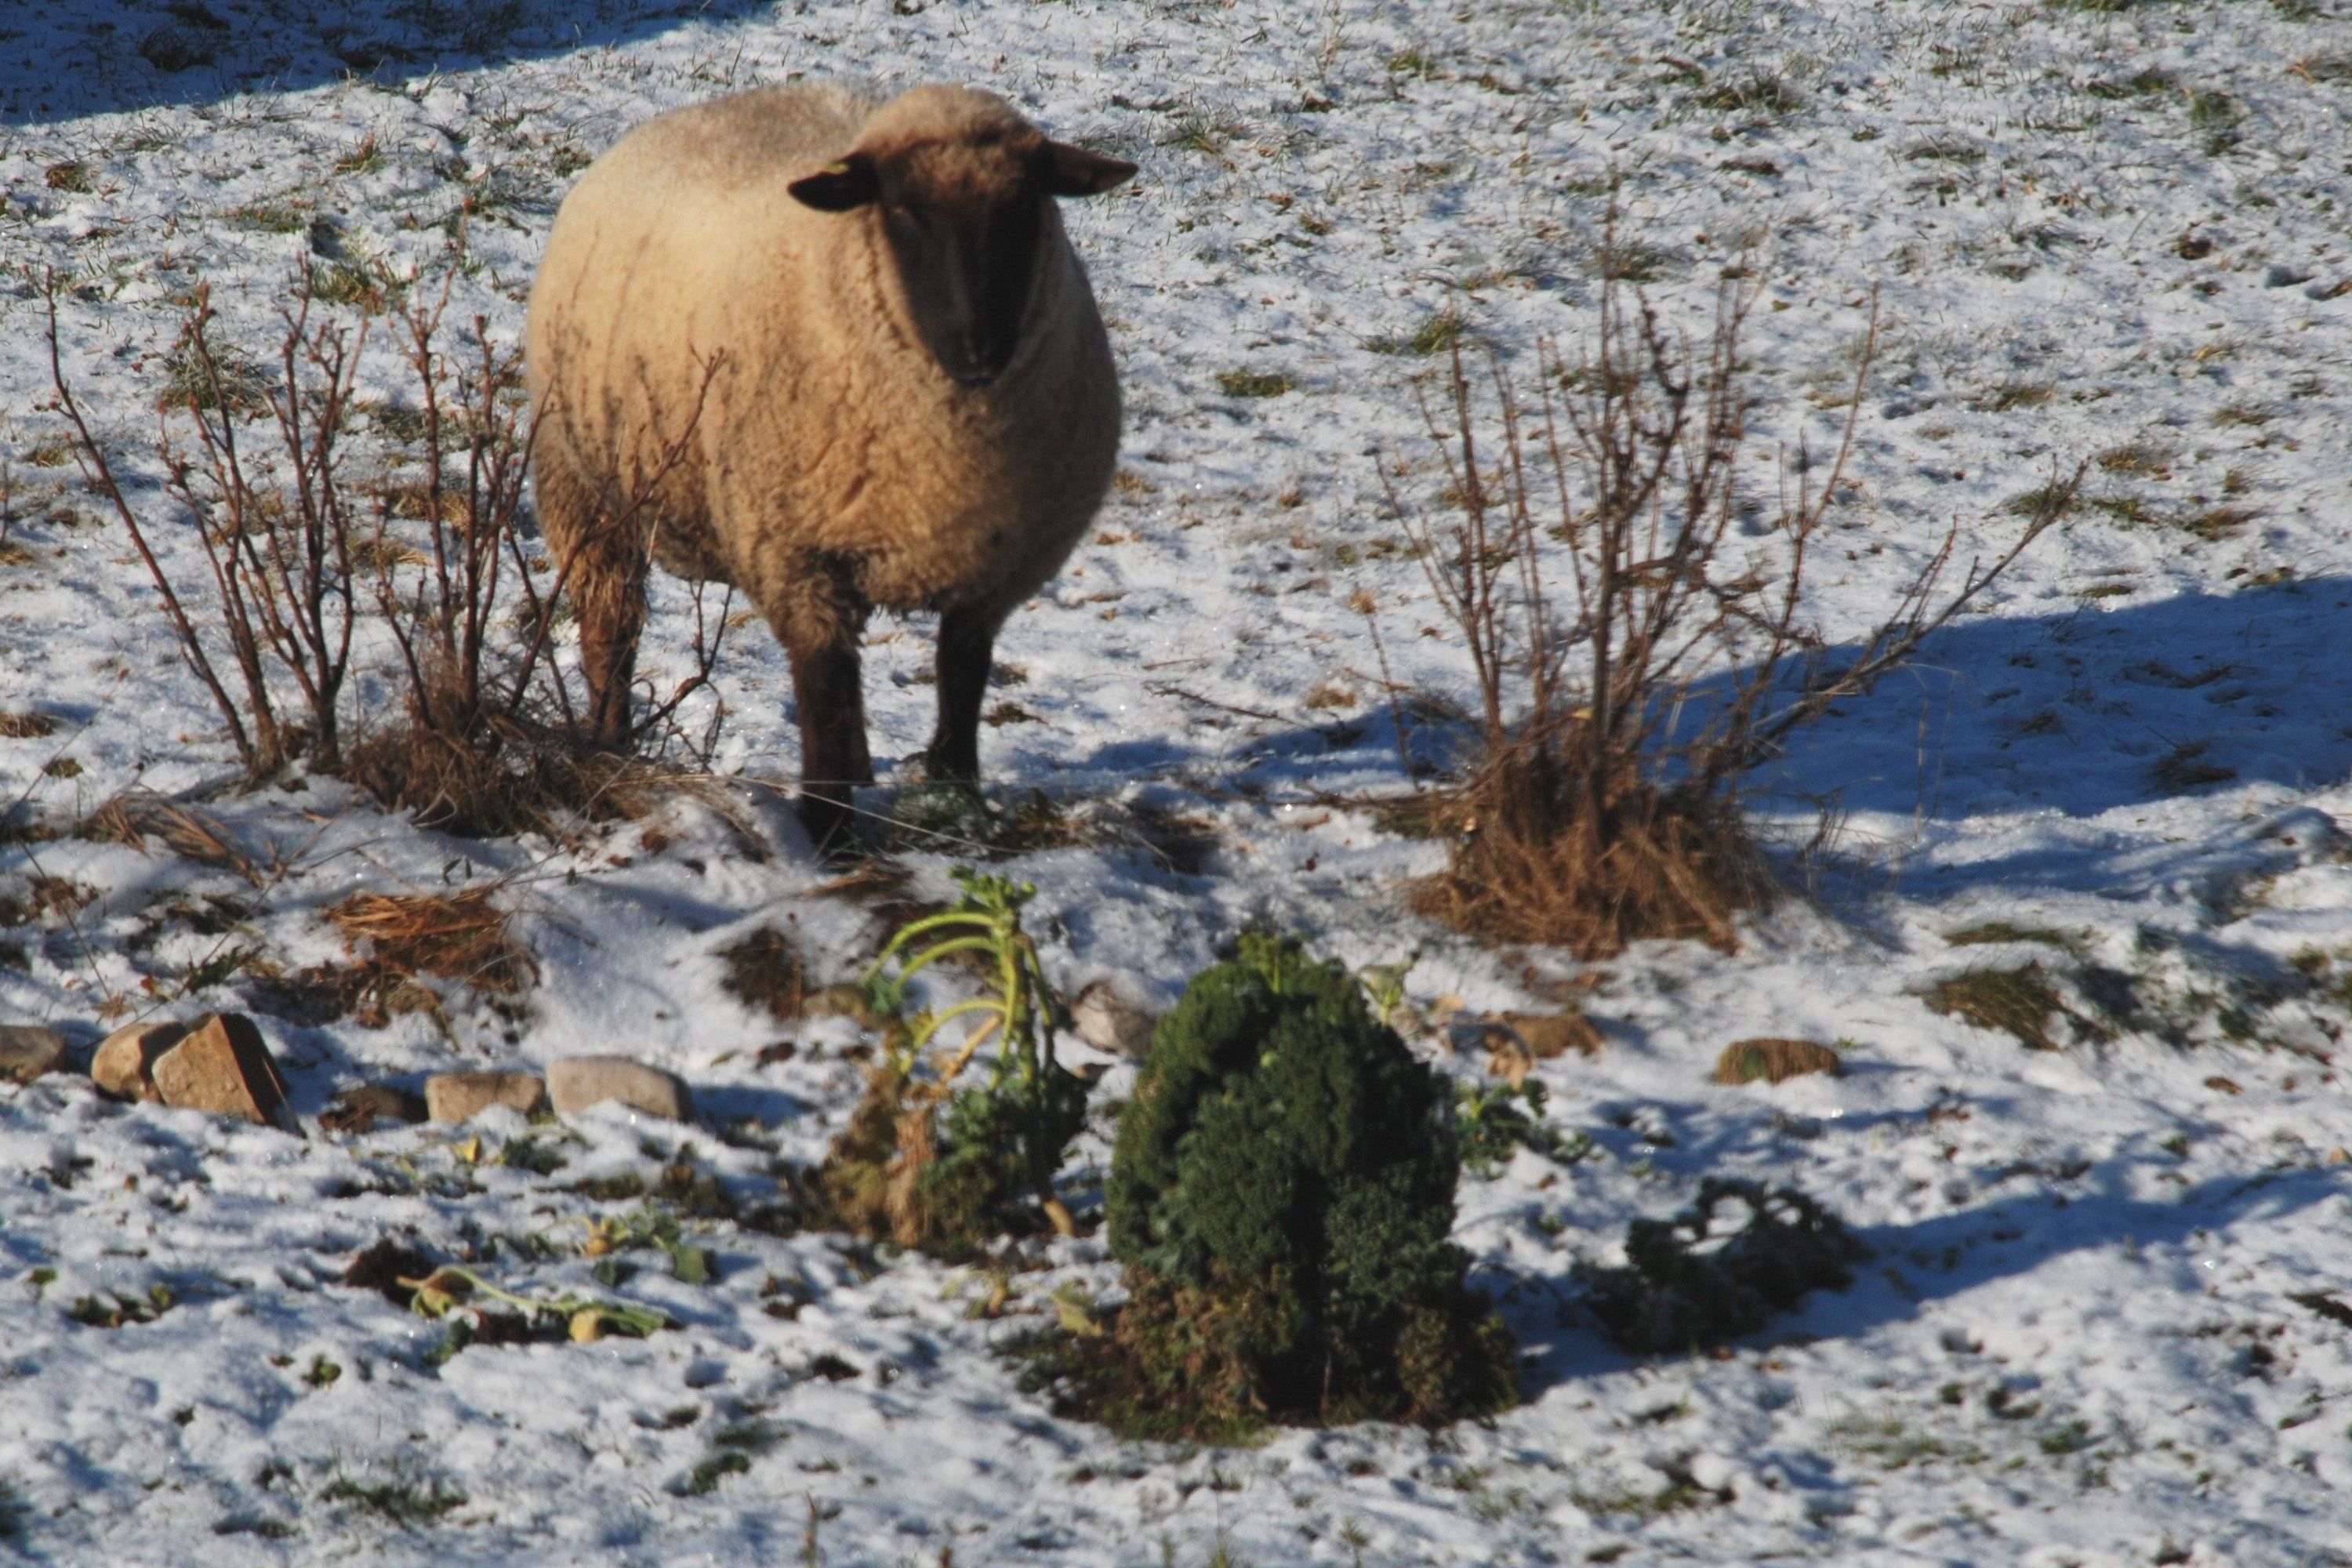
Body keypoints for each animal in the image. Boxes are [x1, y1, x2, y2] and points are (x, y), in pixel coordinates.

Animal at [525, 82, 1136, 852]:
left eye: (1025, 207)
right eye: (903, 211)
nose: (980, 350)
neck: (949, 447)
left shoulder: (995, 571)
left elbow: (962, 676)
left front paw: (957, 799)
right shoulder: (795, 556)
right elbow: (825, 689)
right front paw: (826, 825)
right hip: (587, 483)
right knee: (612, 623)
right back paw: (610, 740)